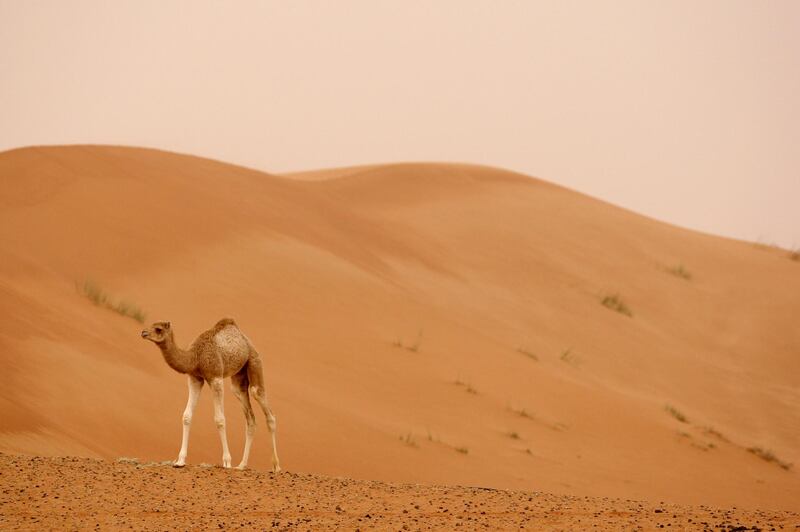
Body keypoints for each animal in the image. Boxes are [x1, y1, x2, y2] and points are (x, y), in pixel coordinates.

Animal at [141, 316, 282, 470]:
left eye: (158, 329)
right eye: (152, 325)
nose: (143, 333)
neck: (195, 357)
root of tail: (246, 340)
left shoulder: (216, 378)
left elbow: (220, 419)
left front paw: (227, 462)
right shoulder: (195, 379)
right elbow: (187, 416)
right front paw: (180, 461)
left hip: (254, 362)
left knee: (265, 406)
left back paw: (276, 466)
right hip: (238, 379)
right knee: (250, 418)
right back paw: (241, 465)